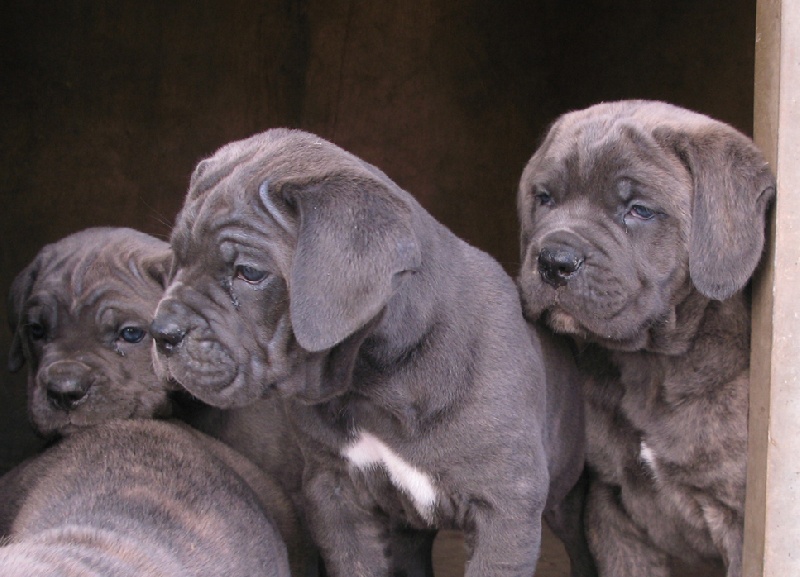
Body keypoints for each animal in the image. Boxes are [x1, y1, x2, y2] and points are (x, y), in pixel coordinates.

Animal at [148, 129, 588, 576]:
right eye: (175, 259)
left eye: (249, 273)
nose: (161, 331)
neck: (376, 378)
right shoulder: (336, 493)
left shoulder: (504, 506)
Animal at [520, 100, 776, 576]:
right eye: (544, 199)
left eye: (639, 210)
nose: (554, 261)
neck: (652, 366)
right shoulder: (611, 508)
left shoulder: (736, 522)